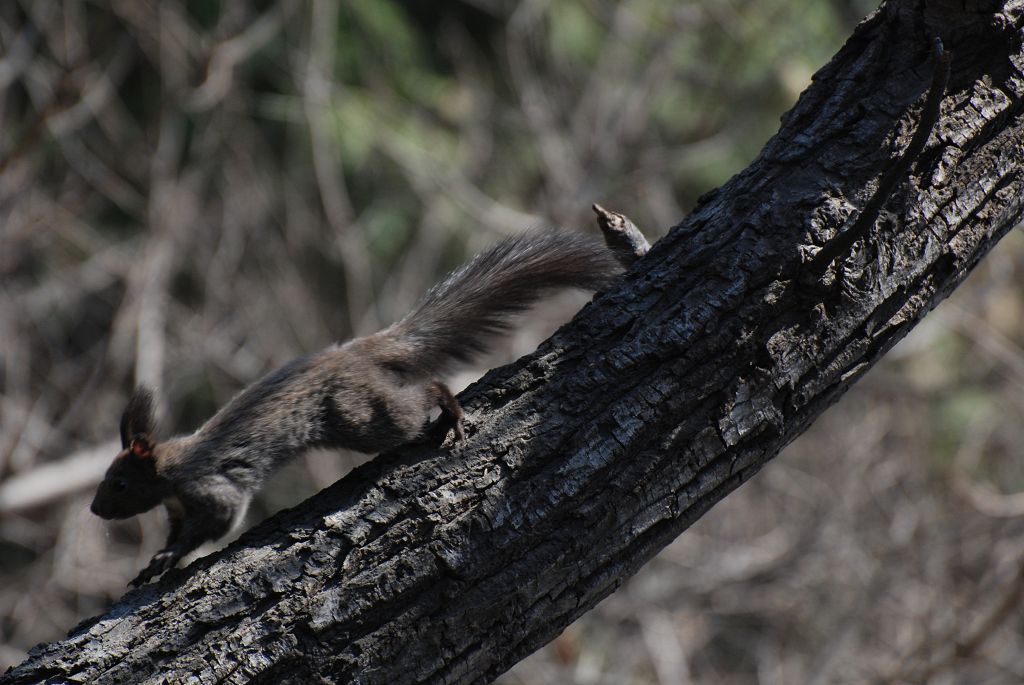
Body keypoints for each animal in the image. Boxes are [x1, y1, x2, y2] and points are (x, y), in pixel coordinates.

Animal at [94, 229, 614, 581]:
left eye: (119, 483)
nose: (96, 511)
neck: (168, 471)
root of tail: (358, 350)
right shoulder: (177, 507)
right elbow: (178, 530)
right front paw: (155, 562)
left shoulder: (209, 487)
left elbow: (218, 521)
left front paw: (170, 556)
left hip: (361, 415)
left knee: (424, 394)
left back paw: (451, 413)